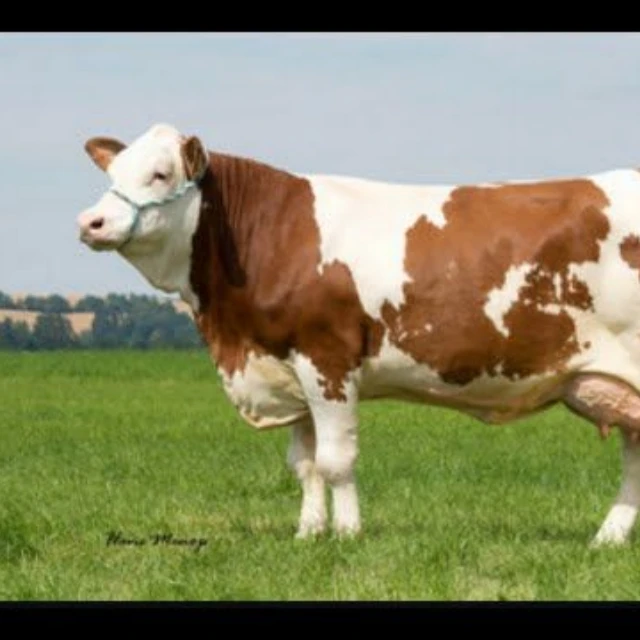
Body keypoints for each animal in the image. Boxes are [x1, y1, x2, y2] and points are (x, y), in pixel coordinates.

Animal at [77, 123, 640, 546]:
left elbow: (335, 461)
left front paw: (347, 534)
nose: (91, 221)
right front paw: (308, 533)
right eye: (113, 171)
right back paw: (607, 539)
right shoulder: (290, 368)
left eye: (160, 173)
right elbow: (304, 464)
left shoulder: (327, 359)